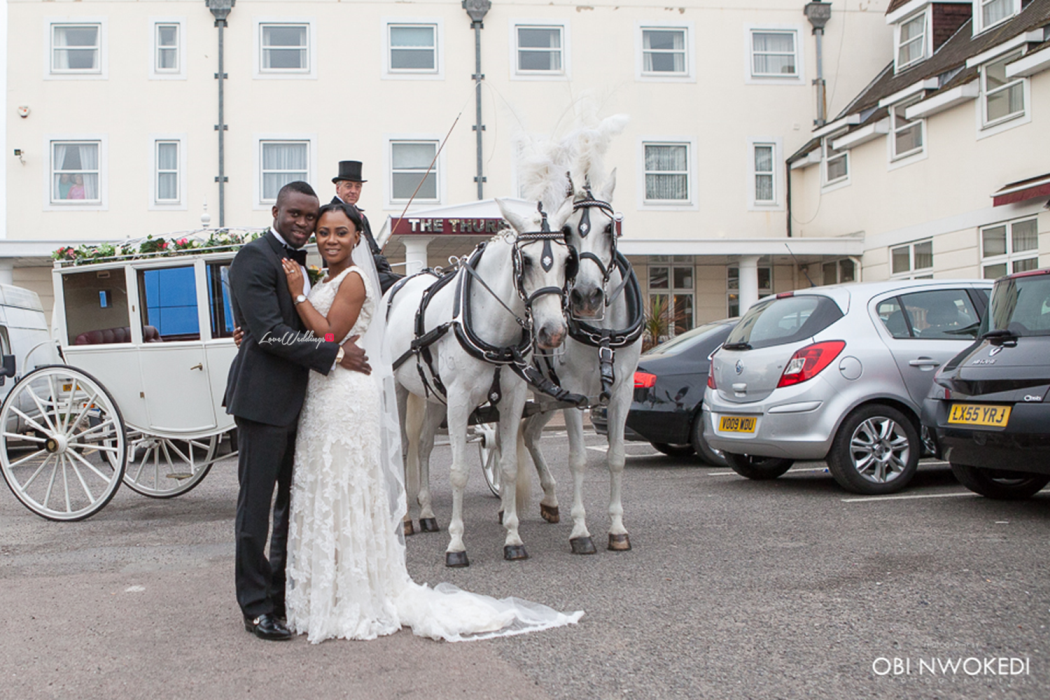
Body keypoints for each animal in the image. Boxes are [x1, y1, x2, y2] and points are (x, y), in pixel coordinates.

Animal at [382, 198, 575, 570]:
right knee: (403, 447)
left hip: (433, 397)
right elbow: (458, 471)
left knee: (424, 446)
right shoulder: (459, 401)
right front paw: (456, 545)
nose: (553, 332)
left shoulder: (511, 400)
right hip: (399, 389)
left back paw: (426, 513)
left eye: (566, 259)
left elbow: (509, 465)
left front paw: (513, 538)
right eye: (527, 261)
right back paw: (406, 519)